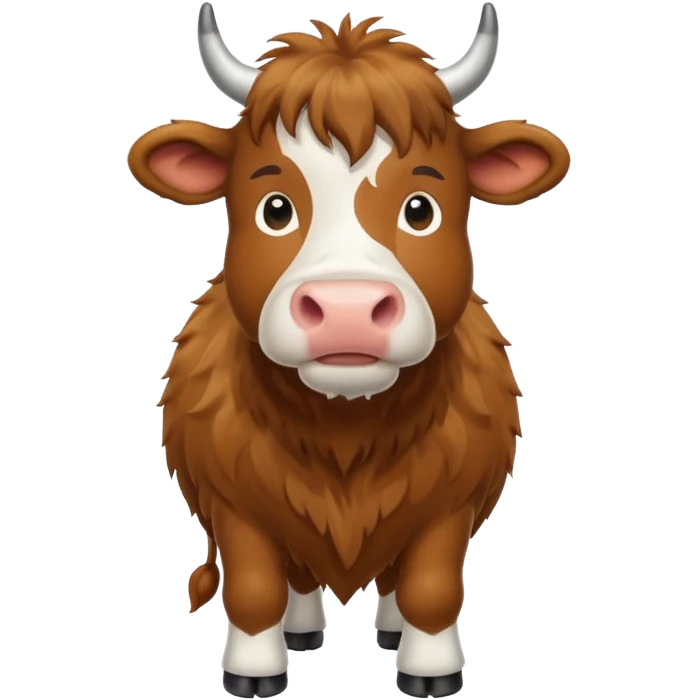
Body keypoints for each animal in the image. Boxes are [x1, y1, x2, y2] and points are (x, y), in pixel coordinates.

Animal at [129, 2, 570, 697]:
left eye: (421, 208)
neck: (344, 429)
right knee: (297, 578)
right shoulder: (236, 501)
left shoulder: (450, 501)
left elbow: (431, 590)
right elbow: (254, 589)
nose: (346, 310)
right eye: (274, 208)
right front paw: (253, 670)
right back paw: (302, 629)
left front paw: (430, 669)